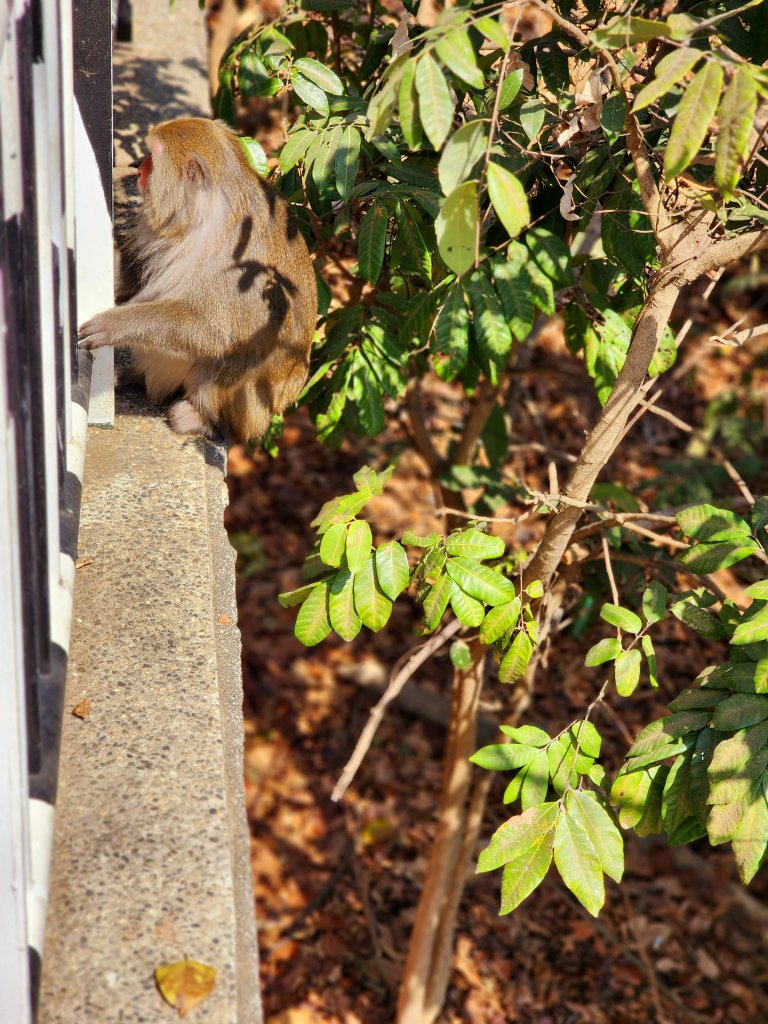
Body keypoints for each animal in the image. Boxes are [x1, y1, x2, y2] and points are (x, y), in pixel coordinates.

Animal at [78, 116, 319, 444]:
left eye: (154, 155)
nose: (140, 168)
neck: (205, 214)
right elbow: (140, 272)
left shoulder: (240, 263)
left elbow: (215, 331)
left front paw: (115, 324)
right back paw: (133, 377)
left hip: (253, 413)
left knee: (232, 358)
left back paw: (203, 420)